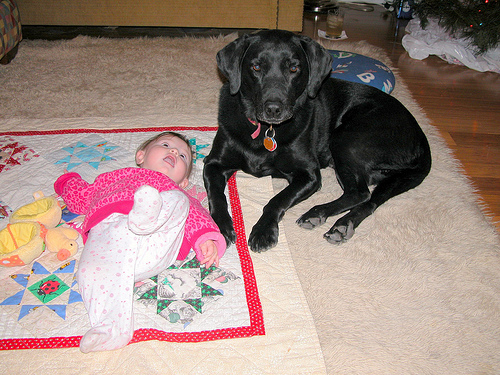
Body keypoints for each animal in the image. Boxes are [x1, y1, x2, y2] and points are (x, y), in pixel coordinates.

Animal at [202, 29, 430, 253]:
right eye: (256, 67)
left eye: (294, 68)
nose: (274, 109)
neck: (266, 130)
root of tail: (420, 136)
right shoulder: (213, 163)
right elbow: (217, 197)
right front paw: (219, 228)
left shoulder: (309, 175)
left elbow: (276, 200)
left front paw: (263, 230)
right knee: (371, 199)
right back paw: (342, 225)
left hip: (346, 139)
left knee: (360, 193)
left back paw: (318, 213)